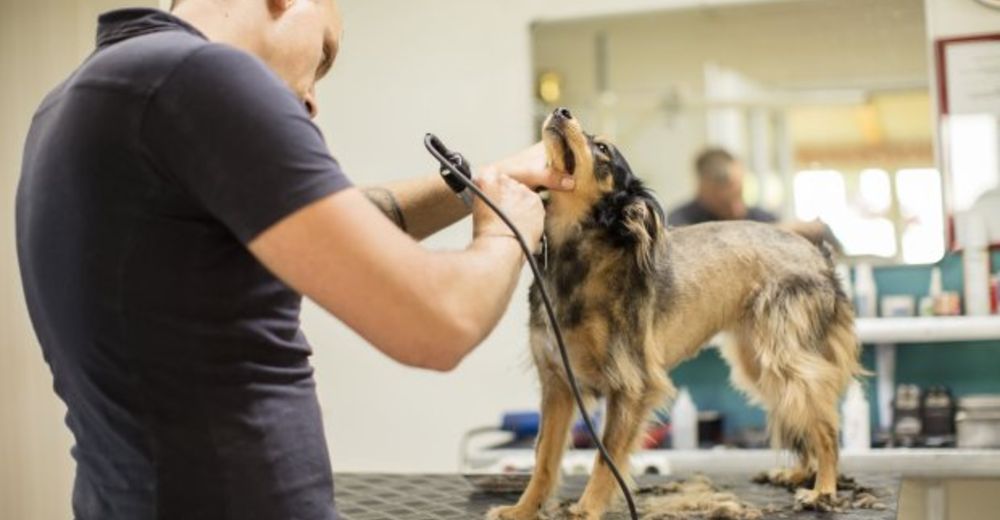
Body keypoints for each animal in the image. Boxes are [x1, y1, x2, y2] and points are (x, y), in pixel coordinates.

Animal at [488, 107, 864, 516]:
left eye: (602, 148)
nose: (561, 110)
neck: (579, 261)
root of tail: (818, 257)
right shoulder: (557, 385)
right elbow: (544, 458)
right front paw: (522, 511)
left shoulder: (632, 386)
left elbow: (606, 460)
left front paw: (586, 511)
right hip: (761, 365)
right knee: (802, 414)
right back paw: (802, 474)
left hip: (786, 359)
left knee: (824, 424)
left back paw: (823, 488)